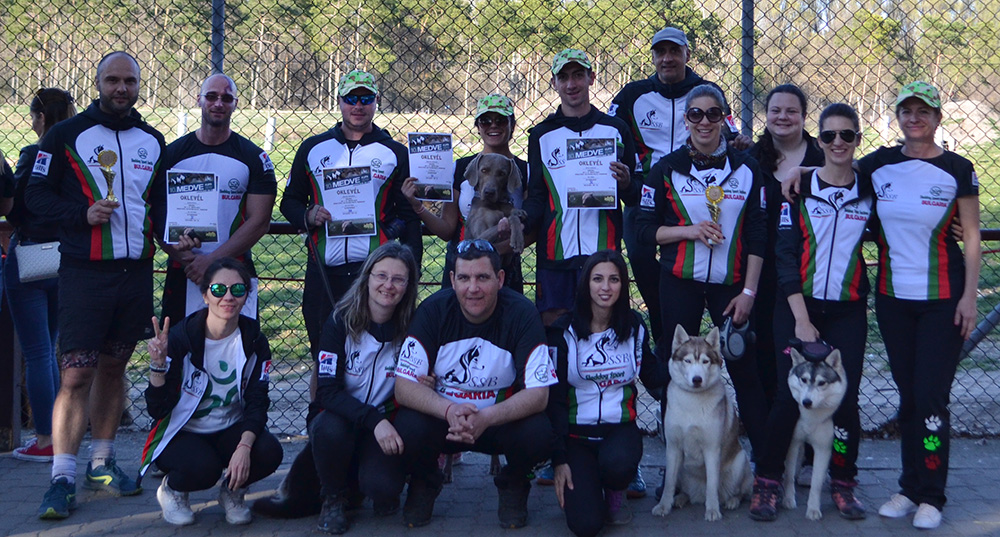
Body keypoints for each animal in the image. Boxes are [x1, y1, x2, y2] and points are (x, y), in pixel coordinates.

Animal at [652, 325, 753, 522]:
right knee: (685, 490)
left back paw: (732, 500)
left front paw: (712, 510)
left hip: (740, 461)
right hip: (683, 470)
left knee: (740, 492)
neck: (692, 402)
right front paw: (664, 506)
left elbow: (712, 485)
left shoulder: (712, 449)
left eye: (705, 361)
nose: (697, 379)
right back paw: (681, 498)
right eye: (688, 360)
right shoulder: (673, 447)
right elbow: (669, 483)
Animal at [783, 347, 847, 520]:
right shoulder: (793, 442)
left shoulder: (823, 448)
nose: (806, 402)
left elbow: (816, 484)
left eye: (822, 383)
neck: (811, 418)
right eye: (803, 380)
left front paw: (813, 509)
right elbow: (789, 474)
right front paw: (788, 500)